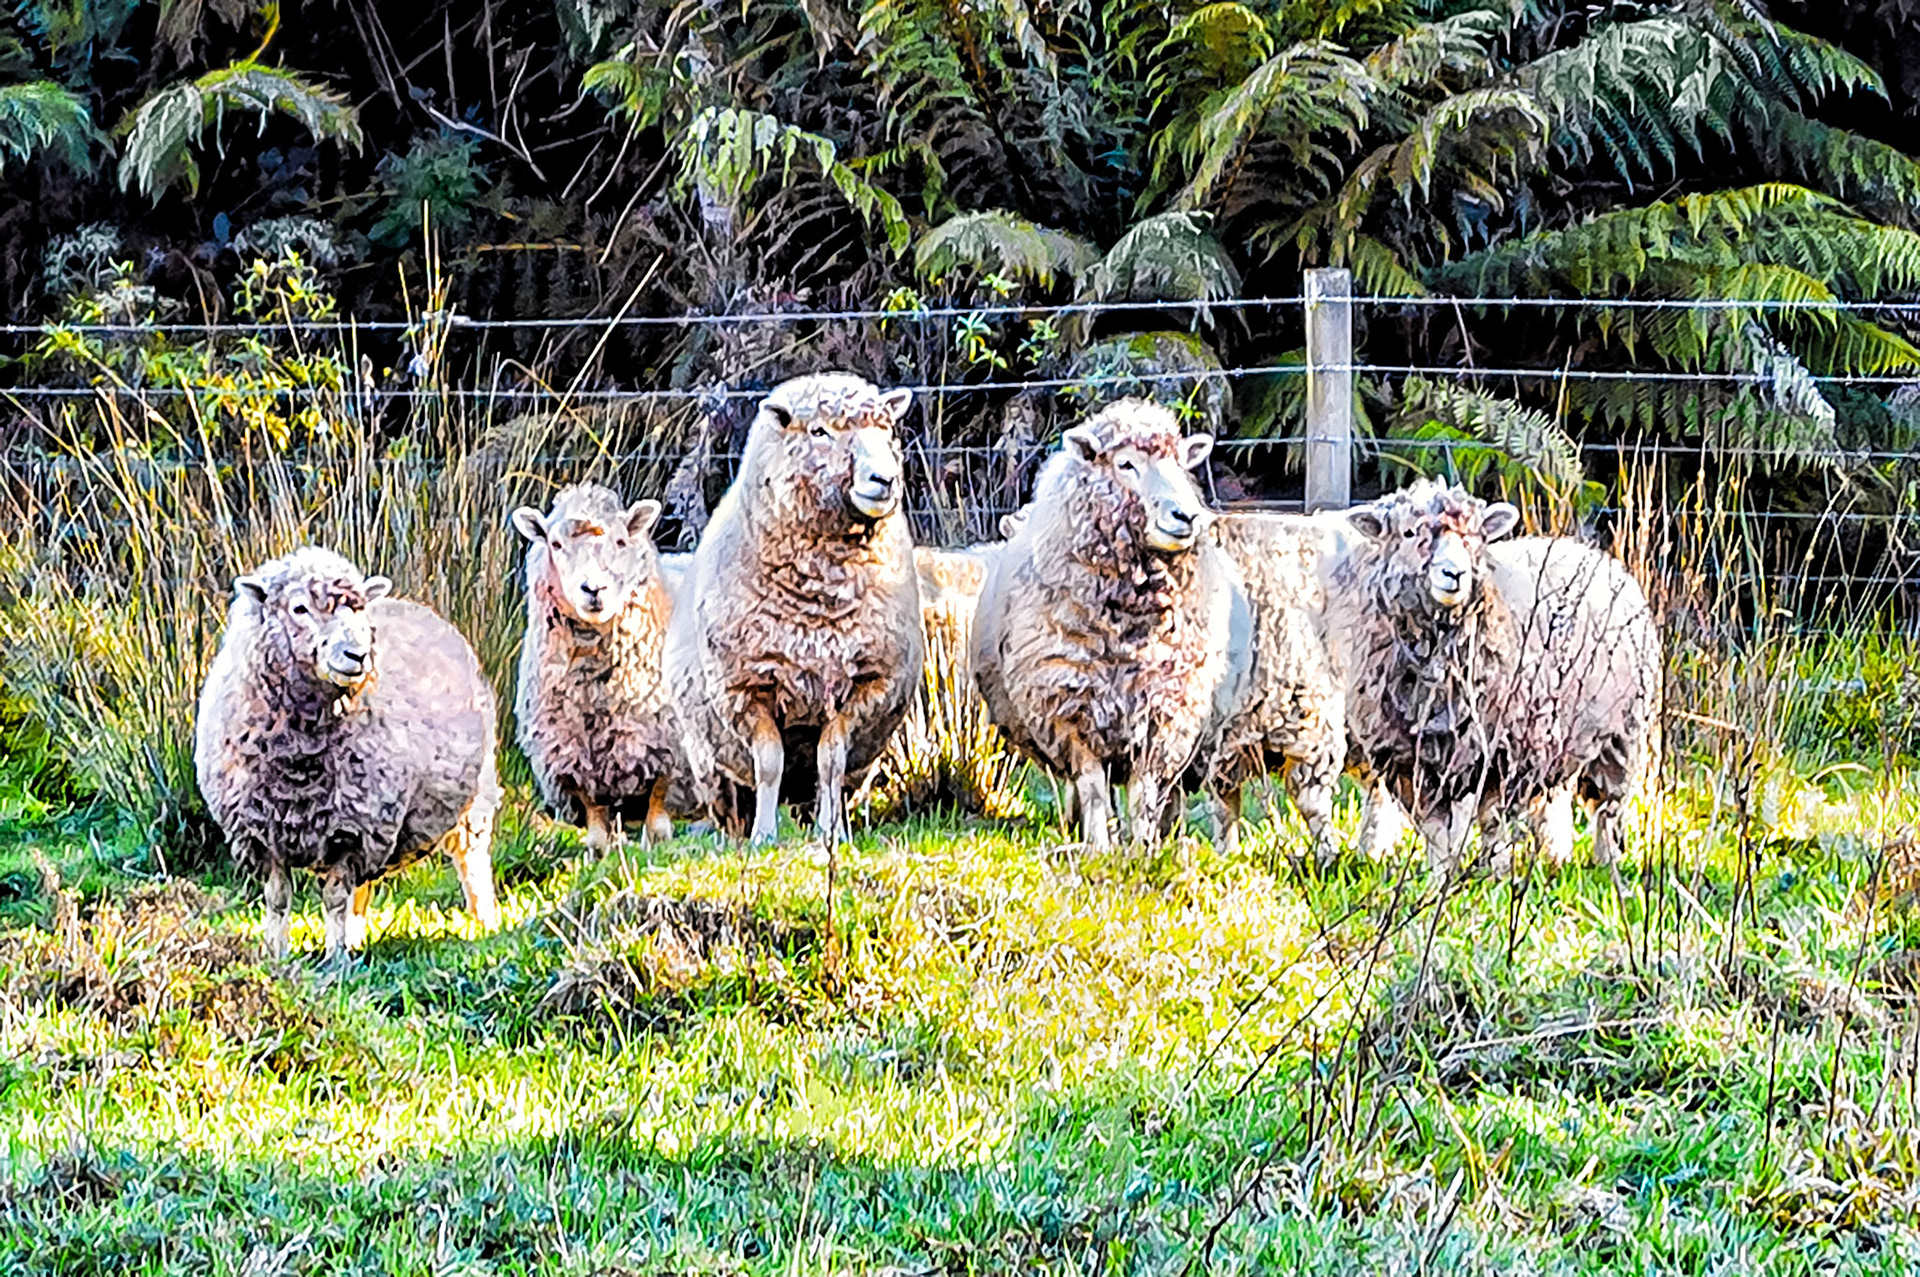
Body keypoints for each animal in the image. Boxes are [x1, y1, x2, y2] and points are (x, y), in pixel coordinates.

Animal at [194, 547, 501, 961]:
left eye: (357, 610)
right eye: (300, 608)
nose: (357, 655)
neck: (299, 762)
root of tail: (417, 606)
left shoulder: (352, 831)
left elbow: (335, 898)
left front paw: (334, 959)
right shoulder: (263, 834)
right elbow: (279, 899)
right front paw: (277, 955)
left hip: (472, 800)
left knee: (472, 862)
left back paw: (485, 924)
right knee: (363, 891)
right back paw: (355, 939)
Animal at [511, 483, 682, 852]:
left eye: (620, 541)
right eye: (555, 544)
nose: (593, 589)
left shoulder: (668, 750)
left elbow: (657, 817)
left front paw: (656, 849)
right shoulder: (574, 758)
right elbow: (596, 826)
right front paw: (598, 855)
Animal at [664, 372, 925, 844]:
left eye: (887, 430)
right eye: (819, 431)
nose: (884, 479)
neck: (819, 600)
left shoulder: (861, 687)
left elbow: (831, 763)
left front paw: (832, 835)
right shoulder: (749, 688)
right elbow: (769, 766)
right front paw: (765, 837)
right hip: (709, 763)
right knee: (735, 801)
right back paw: (738, 834)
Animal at [972, 399, 1253, 850]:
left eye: (1181, 463)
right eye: (1126, 464)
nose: (1186, 515)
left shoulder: (1163, 709)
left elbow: (1144, 791)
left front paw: (1142, 847)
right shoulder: (1070, 705)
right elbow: (1091, 788)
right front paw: (1100, 846)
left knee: (1200, 794)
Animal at [1327, 479, 1662, 873]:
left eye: (1474, 536)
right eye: (1408, 533)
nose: (1454, 573)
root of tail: (1592, 552)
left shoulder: (1504, 753)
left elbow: (1490, 822)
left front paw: (1493, 873)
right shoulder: (1411, 762)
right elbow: (1436, 832)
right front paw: (1440, 875)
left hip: (1623, 734)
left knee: (1609, 809)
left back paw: (1609, 866)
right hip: (1561, 735)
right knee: (1556, 800)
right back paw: (1556, 856)